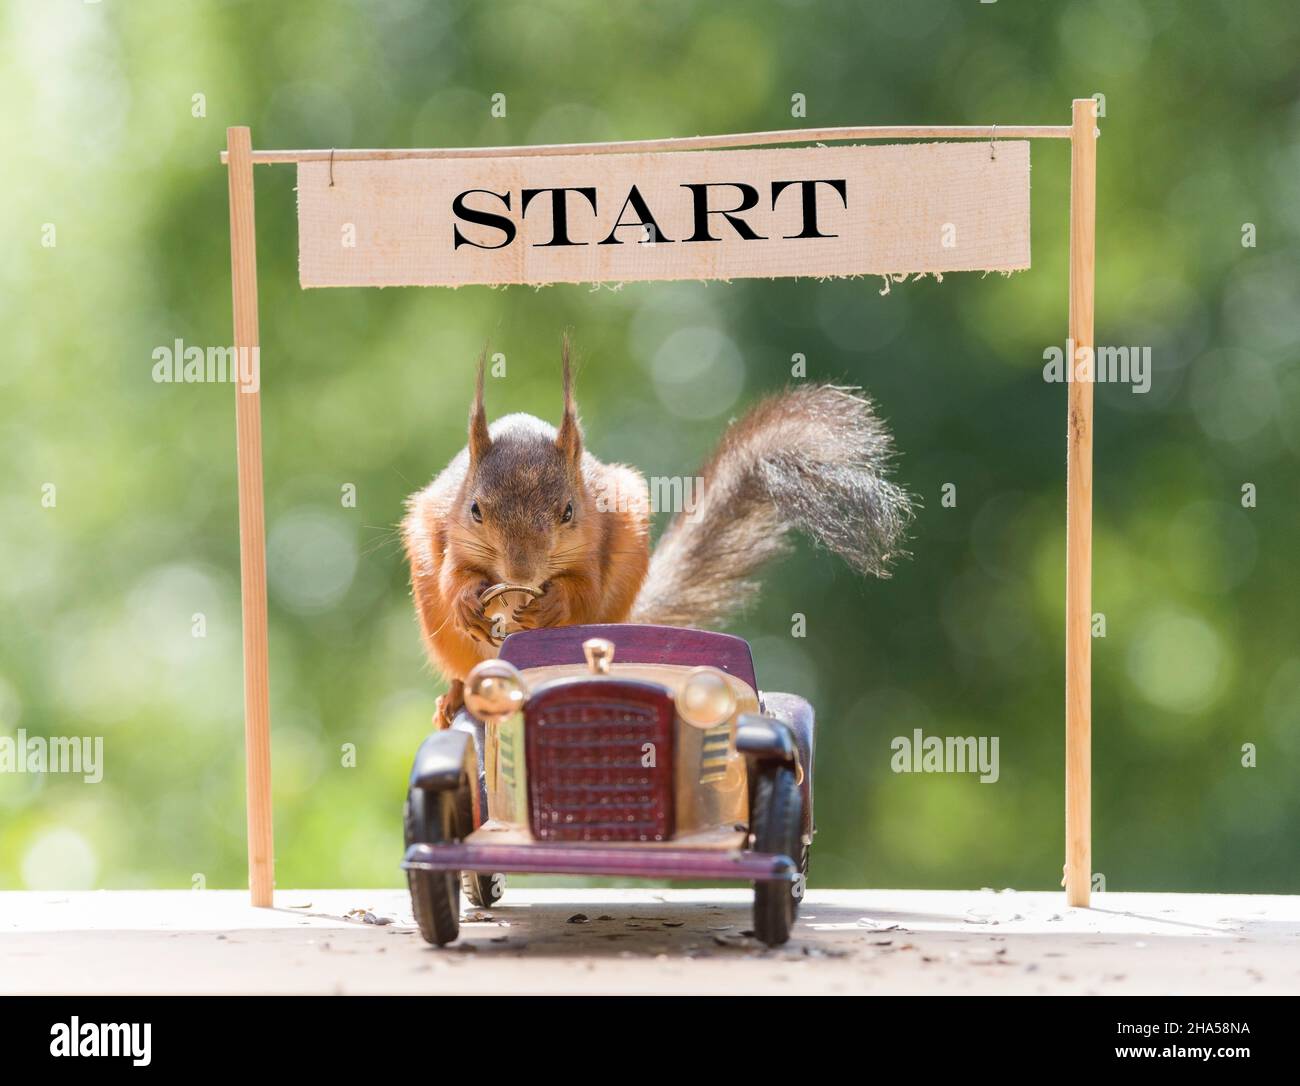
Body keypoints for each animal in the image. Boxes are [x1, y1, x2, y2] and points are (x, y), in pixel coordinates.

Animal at [403, 337, 913, 725]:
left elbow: (586, 589)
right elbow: (452, 573)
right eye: (474, 510)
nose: (521, 574)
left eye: (568, 511)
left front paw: (556, 604)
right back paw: (455, 694)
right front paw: (467, 600)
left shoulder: (602, 532)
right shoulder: (442, 525)